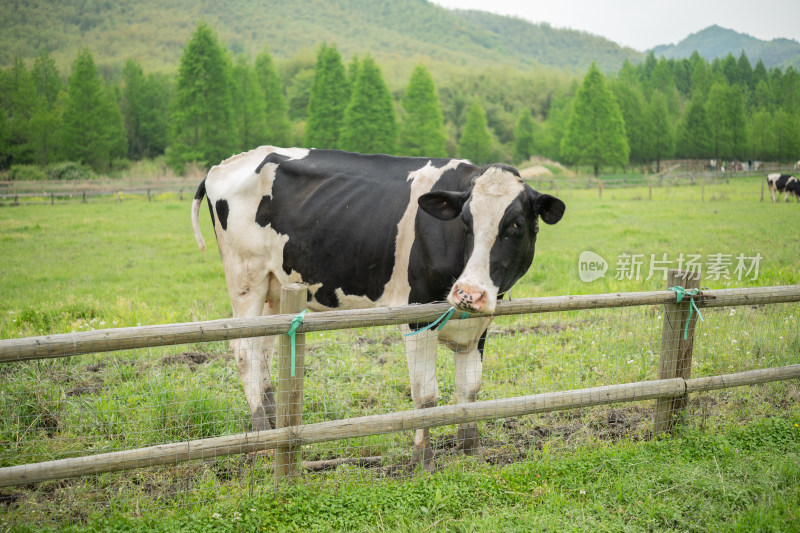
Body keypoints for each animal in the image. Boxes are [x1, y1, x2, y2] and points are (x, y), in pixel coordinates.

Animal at [191, 144, 564, 462]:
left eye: (516, 224)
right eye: (465, 222)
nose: (468, 293)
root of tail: (224, 164)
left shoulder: (478, 324)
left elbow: (470, 390)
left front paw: (470, 451)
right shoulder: (416, 318)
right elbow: (425, 395)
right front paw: (422, 460)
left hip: (274, 286)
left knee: (263, 350)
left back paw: (273, 426)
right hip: (245, 278)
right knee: (244, 351)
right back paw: (260, 434)